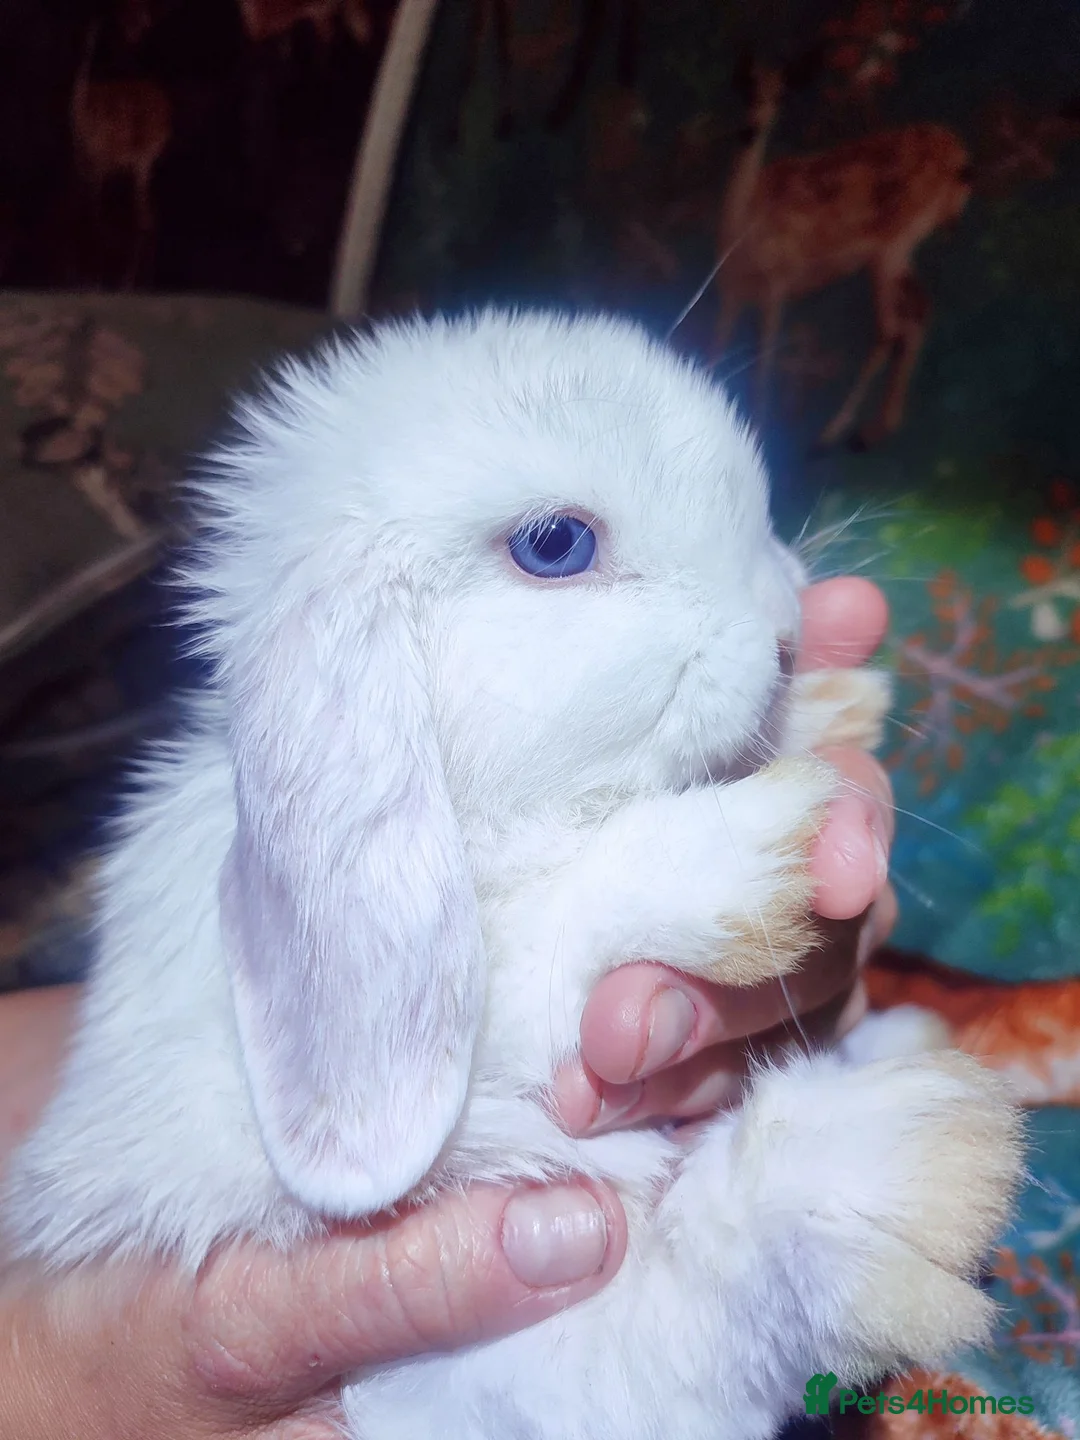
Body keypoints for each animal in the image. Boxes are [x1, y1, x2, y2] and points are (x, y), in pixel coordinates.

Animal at [2, 310, 1022, 1440]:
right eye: (555, 545)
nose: (788, 636)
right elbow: (528, 960)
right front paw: (760, 851)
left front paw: (841, 708)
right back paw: (905, 1162)